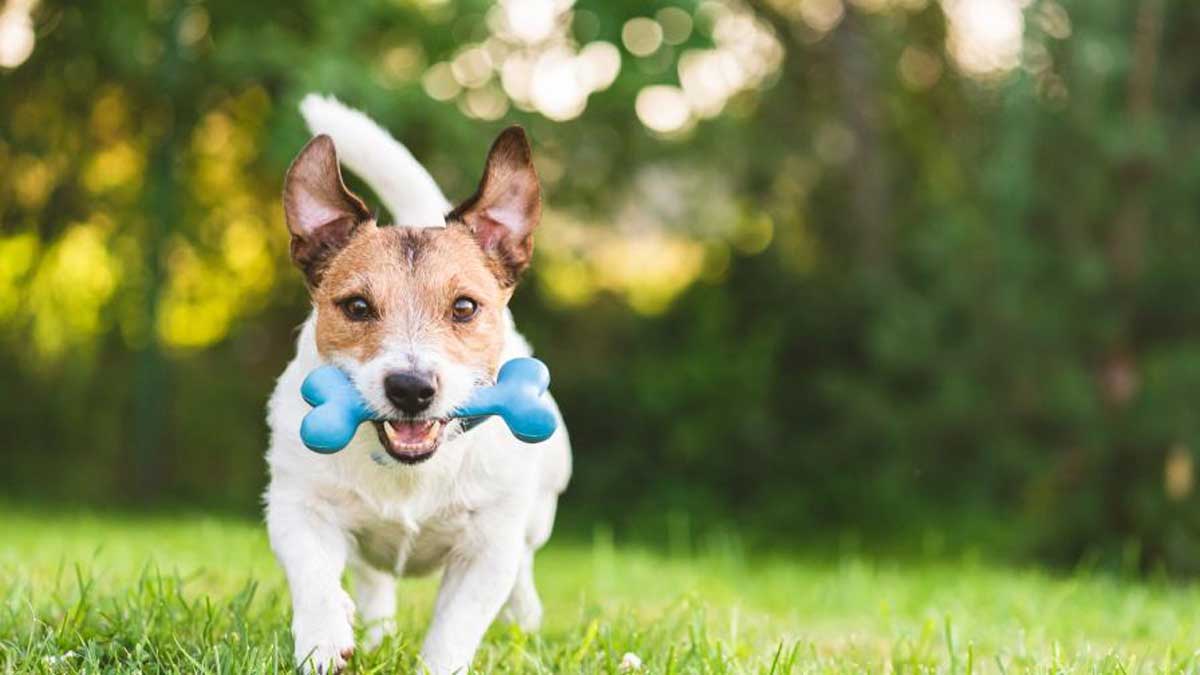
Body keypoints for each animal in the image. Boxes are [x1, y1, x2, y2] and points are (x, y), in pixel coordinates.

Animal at [266, 96, 571, 672]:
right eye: (357, 307)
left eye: (465, 307)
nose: (410, 388)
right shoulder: (298, 505)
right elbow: (313, 576)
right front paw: (324, 638)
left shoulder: (486, 549)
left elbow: (455, 628)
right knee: (372, 578)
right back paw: (373, 629)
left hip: (539, 507)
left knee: (524, 563)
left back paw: (524, 619)